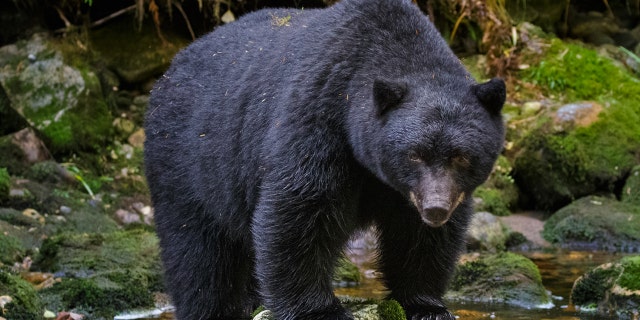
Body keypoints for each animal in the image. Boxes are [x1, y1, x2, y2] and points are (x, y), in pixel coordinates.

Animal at [144, 0, 504, 318]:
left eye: (461, 156)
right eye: (414, 154)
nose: (436, 209)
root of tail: (170, 70)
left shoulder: (410, 192)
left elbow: (419, 237)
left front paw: (426, 305)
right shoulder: (318, 118)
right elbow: (300, 210)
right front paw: (319, 310)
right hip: (189, 163)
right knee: (198, 254)